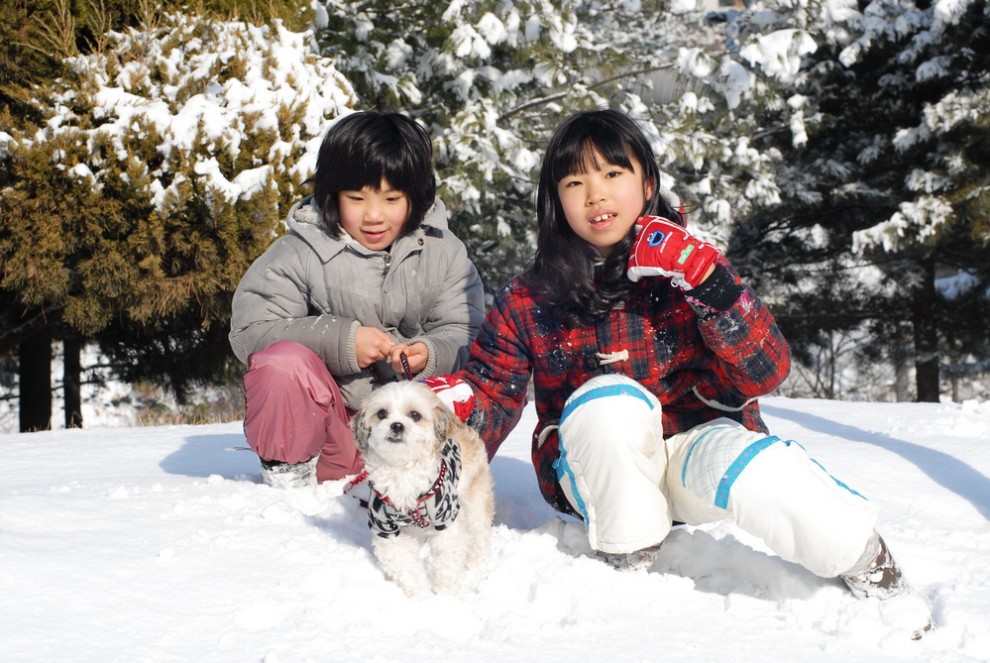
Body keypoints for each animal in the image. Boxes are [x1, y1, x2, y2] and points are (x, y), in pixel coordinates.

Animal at [351, 380, 495, 596]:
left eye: (415, 415)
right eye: (382, 413)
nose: (397, 425)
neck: (402, 469)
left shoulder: (446, 519)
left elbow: (447, 560)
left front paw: (445, 594)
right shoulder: (385, 527)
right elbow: (404, 565)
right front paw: (420, 595)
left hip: (474, 498)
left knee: (479, 532)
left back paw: (476, 564)